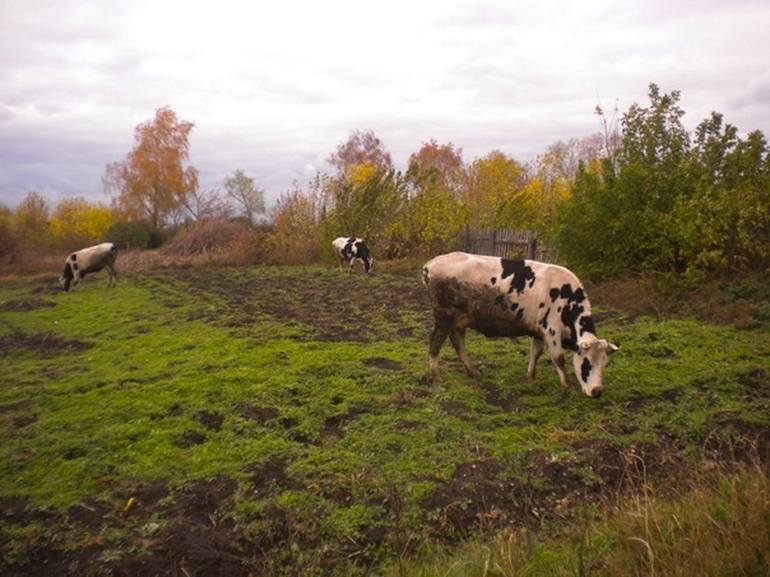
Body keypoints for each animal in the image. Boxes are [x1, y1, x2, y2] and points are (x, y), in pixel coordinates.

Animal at [424, 252, 616, 396]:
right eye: (587, 364)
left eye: (604, 363)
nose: (597, 391)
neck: (567, 299)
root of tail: (431, 263)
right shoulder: (551, 331)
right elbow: (559, 359)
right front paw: (567, 385)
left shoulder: (538, 331)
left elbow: (535, 353)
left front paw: (530, 377)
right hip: (444, 316)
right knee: (435, 343)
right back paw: (436, 377)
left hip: (459, 320)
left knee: (457, 341)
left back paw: (473, 371)